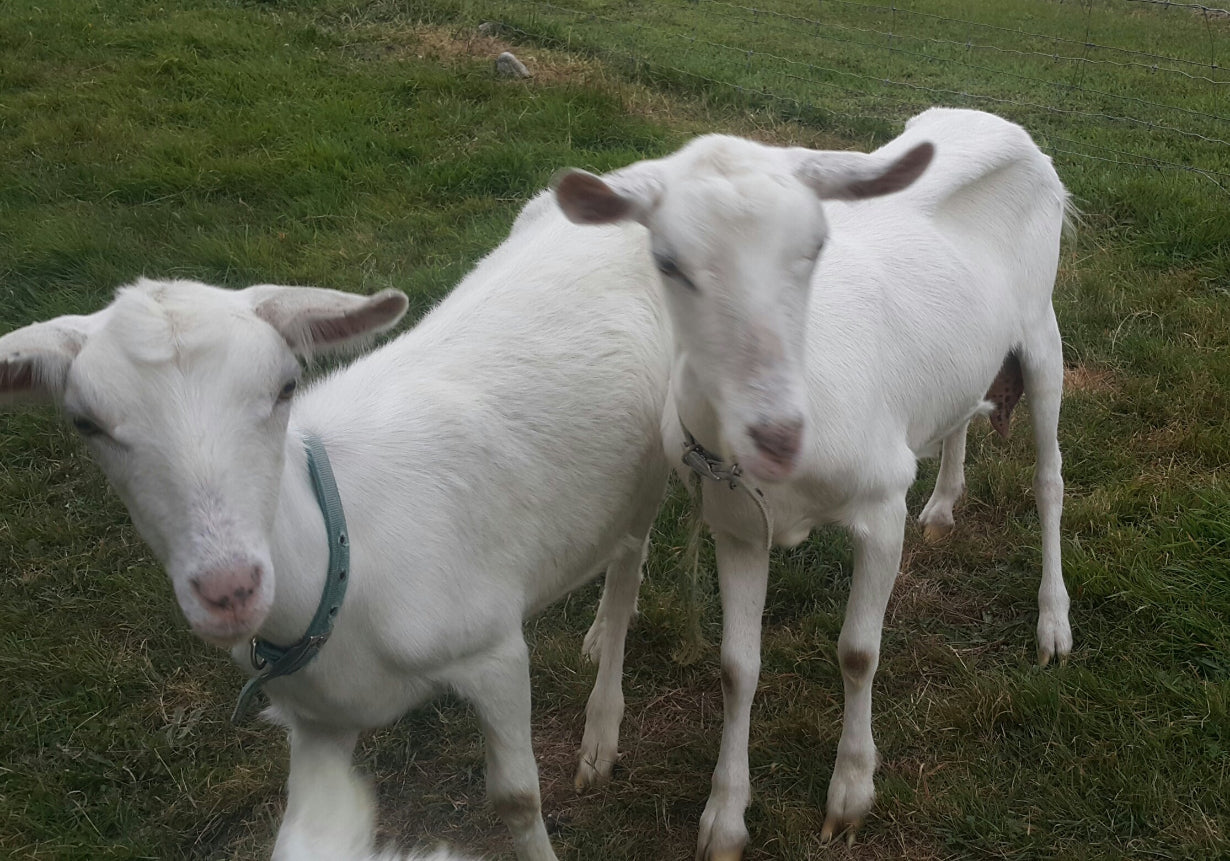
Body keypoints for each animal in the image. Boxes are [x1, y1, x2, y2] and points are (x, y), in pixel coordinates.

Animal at [0, 192, 674, 859]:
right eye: (86, 423)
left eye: (285, 386)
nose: (228, 590)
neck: (344, 558)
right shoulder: (318, 722)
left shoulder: (493, 650)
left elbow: (516, 798)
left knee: (631, 552)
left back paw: (601, 726)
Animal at [555, 107, 1072, 858]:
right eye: (668, 261)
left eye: (816, 244)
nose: (776, 435)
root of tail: (1000, 121)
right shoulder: (738, 525)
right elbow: (737, 666)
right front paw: (724, 818)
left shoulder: (881, 502)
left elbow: (858, 651)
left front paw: (850, 795)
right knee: (960, 413)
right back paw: (943, 507)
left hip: (1042, 332)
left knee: (1049, 476)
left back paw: (1053, 625)